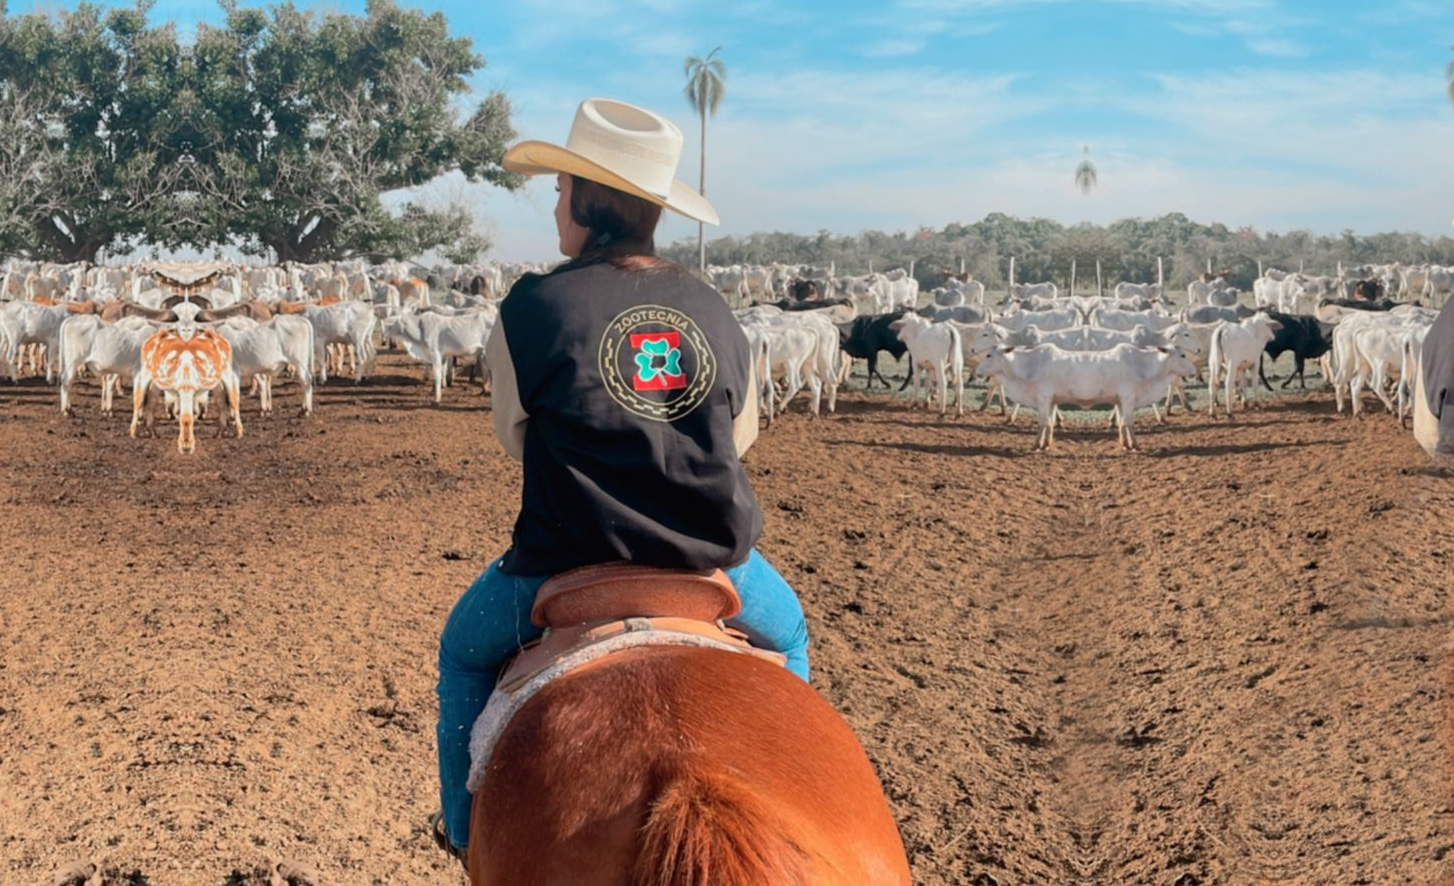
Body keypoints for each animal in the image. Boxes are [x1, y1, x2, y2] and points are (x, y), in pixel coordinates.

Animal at [133, 324, 244, 453]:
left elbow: (187, 417)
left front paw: (187, 446)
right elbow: (185, 417)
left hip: (226, 377)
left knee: (231, 400)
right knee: (145, 400)